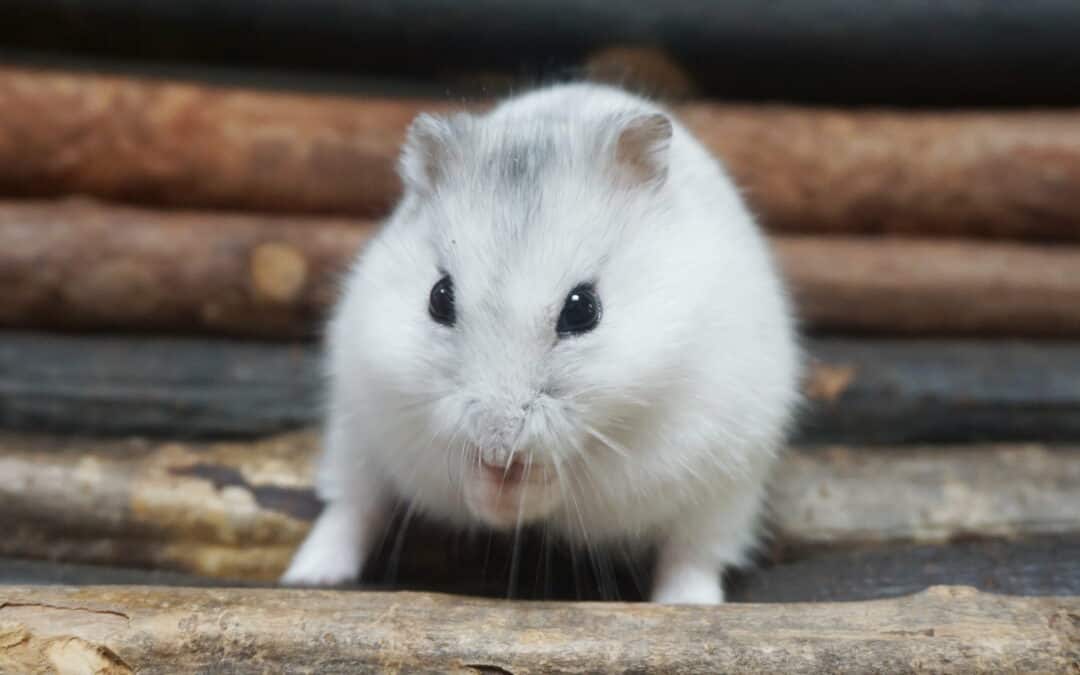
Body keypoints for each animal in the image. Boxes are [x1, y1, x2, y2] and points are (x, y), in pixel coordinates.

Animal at [280, 81, 803, 604]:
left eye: (583, 309)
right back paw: (310, 576)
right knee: (350, 509)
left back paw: (687, 604)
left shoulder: (637, 455)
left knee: (694, 555)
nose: (497, 445)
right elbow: (460, 476)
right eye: (439, 298)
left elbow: (558, 481)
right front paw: (490, 486)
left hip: (727, 493)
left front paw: (515, 485)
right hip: (354, 439)